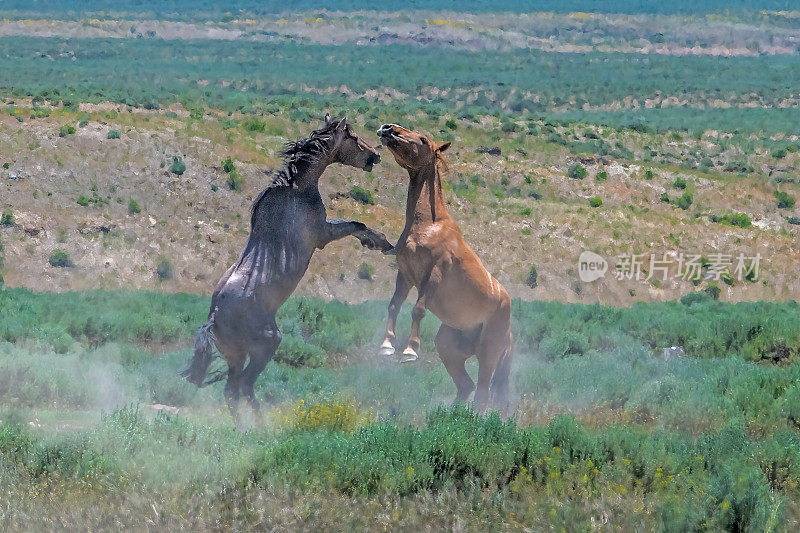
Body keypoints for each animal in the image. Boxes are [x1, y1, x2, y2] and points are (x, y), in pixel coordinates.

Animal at [182, 115, 394, 408]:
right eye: (352, 137)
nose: (375, 155)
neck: (298, 189)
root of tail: (214, 320)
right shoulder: (322, 234)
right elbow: (356, 224)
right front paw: (383, 244)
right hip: (267, 344)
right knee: (245, 386)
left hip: (237, 356)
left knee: (233, 391)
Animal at [376, 122, 512, 410]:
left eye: (422, 139)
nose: (388, 128)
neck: (429, 225)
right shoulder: (405, 274)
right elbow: (394, 305)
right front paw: (386, 346)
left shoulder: (435, 272)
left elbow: (417, 310)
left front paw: (409, 351)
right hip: (448, 347)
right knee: (466, 386)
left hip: (488, 353)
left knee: (482, 393)